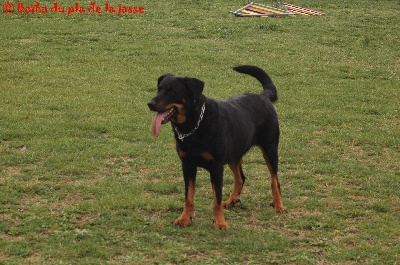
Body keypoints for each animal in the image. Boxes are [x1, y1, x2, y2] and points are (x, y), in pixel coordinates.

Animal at [148, 65, 286, 228]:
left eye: (171, 91)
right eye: (159, 89)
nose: (150, 103)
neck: (194, 124)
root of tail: (263, 96)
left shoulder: (216, 168)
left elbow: (217, 200)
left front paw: (220, 223)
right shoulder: (187, 166)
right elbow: (188, 197)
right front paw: (184, 219)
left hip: (270, 150)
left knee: (274, 180)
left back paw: (279, 205)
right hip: (234, 154)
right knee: (240, 177)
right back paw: (232, 200)